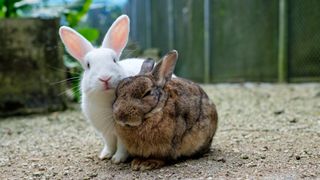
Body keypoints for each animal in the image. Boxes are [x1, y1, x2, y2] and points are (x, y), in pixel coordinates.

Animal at [58, 14, 144, 163]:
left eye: (115, 60)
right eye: (88, 65)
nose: (105, 78)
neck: (106, 98)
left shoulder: (123, 132)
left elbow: (122, 146)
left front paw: (117, 159)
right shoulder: (106, 132)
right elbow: (109, 143)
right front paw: (105, 155)